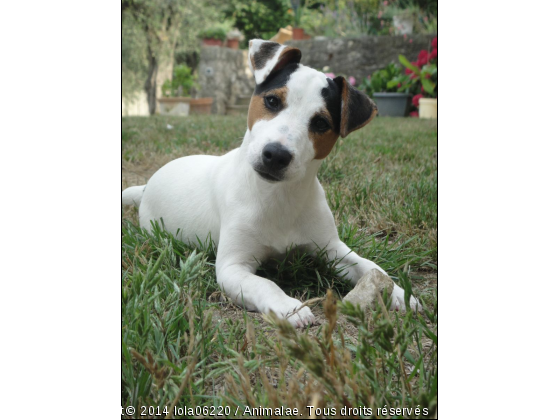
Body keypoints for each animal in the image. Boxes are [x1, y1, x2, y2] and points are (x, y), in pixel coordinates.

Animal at [122, 39, 420, 328]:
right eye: (273, 101)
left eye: (321, 123)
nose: (276, 155)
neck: (278, 196)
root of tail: (146, 187)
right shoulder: (233, 266)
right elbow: (265, 283)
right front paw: (290, 307)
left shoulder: (332, 248)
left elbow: (369, 266)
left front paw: (397, 291)